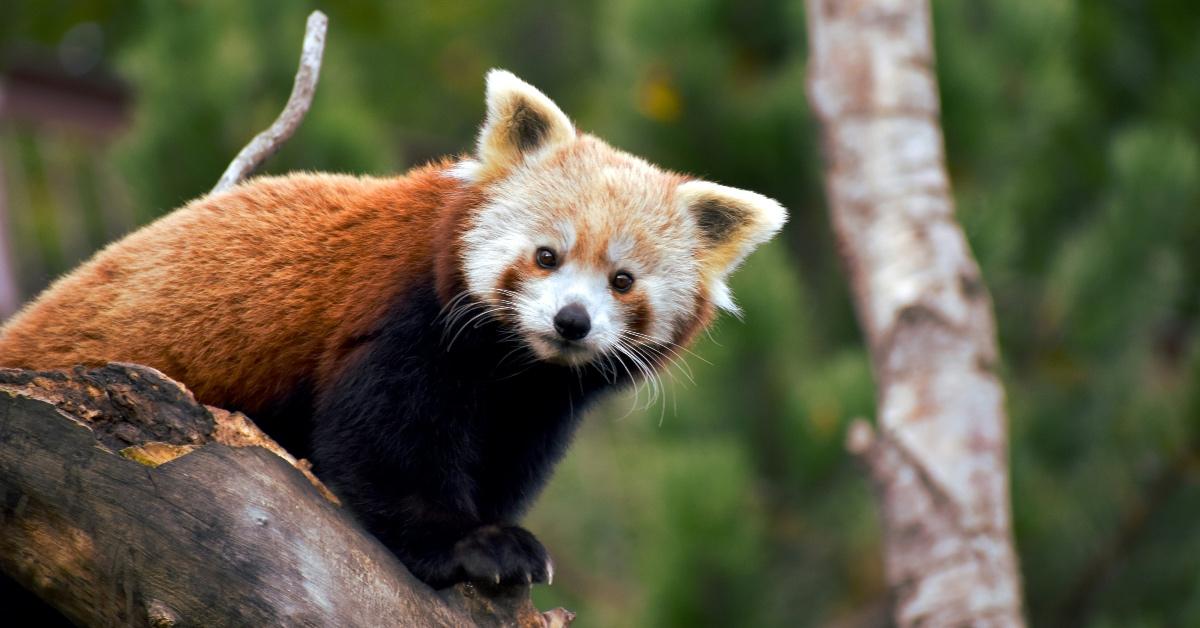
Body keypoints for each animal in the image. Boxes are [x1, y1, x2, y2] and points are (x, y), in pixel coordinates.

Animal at [2, 71, 787, 588]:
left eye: (622, 281)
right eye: (547, 256)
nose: (571, 321)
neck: (510, 364)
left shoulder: (536, 404)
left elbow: (503, 461)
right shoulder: (400, 319)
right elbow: (383, 445)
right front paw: (475, 545)